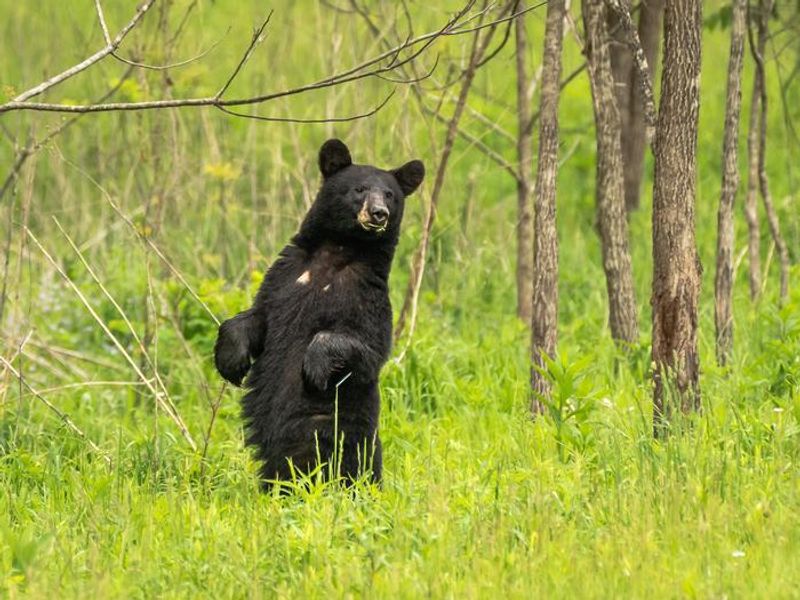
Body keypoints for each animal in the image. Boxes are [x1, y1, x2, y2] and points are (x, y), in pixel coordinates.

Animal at [214, 139, 424, 487]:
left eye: (390, 195)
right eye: (360, 189)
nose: (378, 214)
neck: (337, 252)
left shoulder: (366, 294)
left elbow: (368, 345)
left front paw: (314, 364)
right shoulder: (284, 277)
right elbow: (258, 317)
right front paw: (230, 362)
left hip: (326, 431)